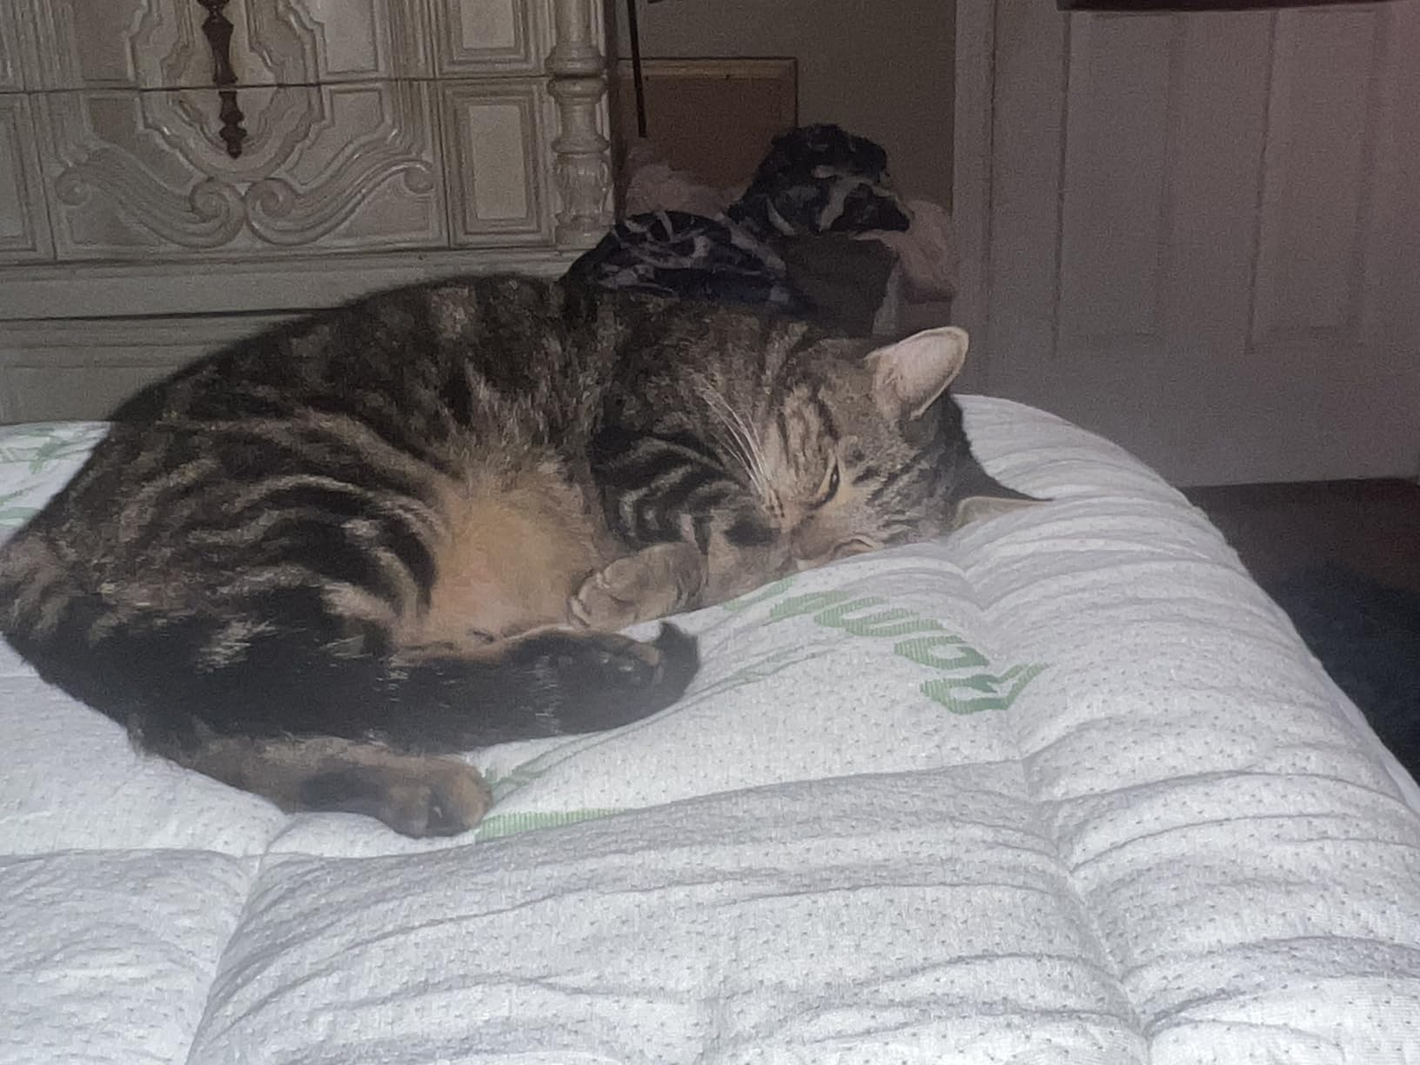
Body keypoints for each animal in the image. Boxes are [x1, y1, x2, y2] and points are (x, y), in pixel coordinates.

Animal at [0, 274, 1031, 837]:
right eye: (829, 474)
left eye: (853, 546)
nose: (815, 537)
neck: (740, 358)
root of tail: (54, 516)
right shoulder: (644, 438)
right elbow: (743, 536)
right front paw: (673, 574)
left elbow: (724, 557)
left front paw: (642, 583)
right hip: (335, 514)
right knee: (263, 700)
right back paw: (445, 752)